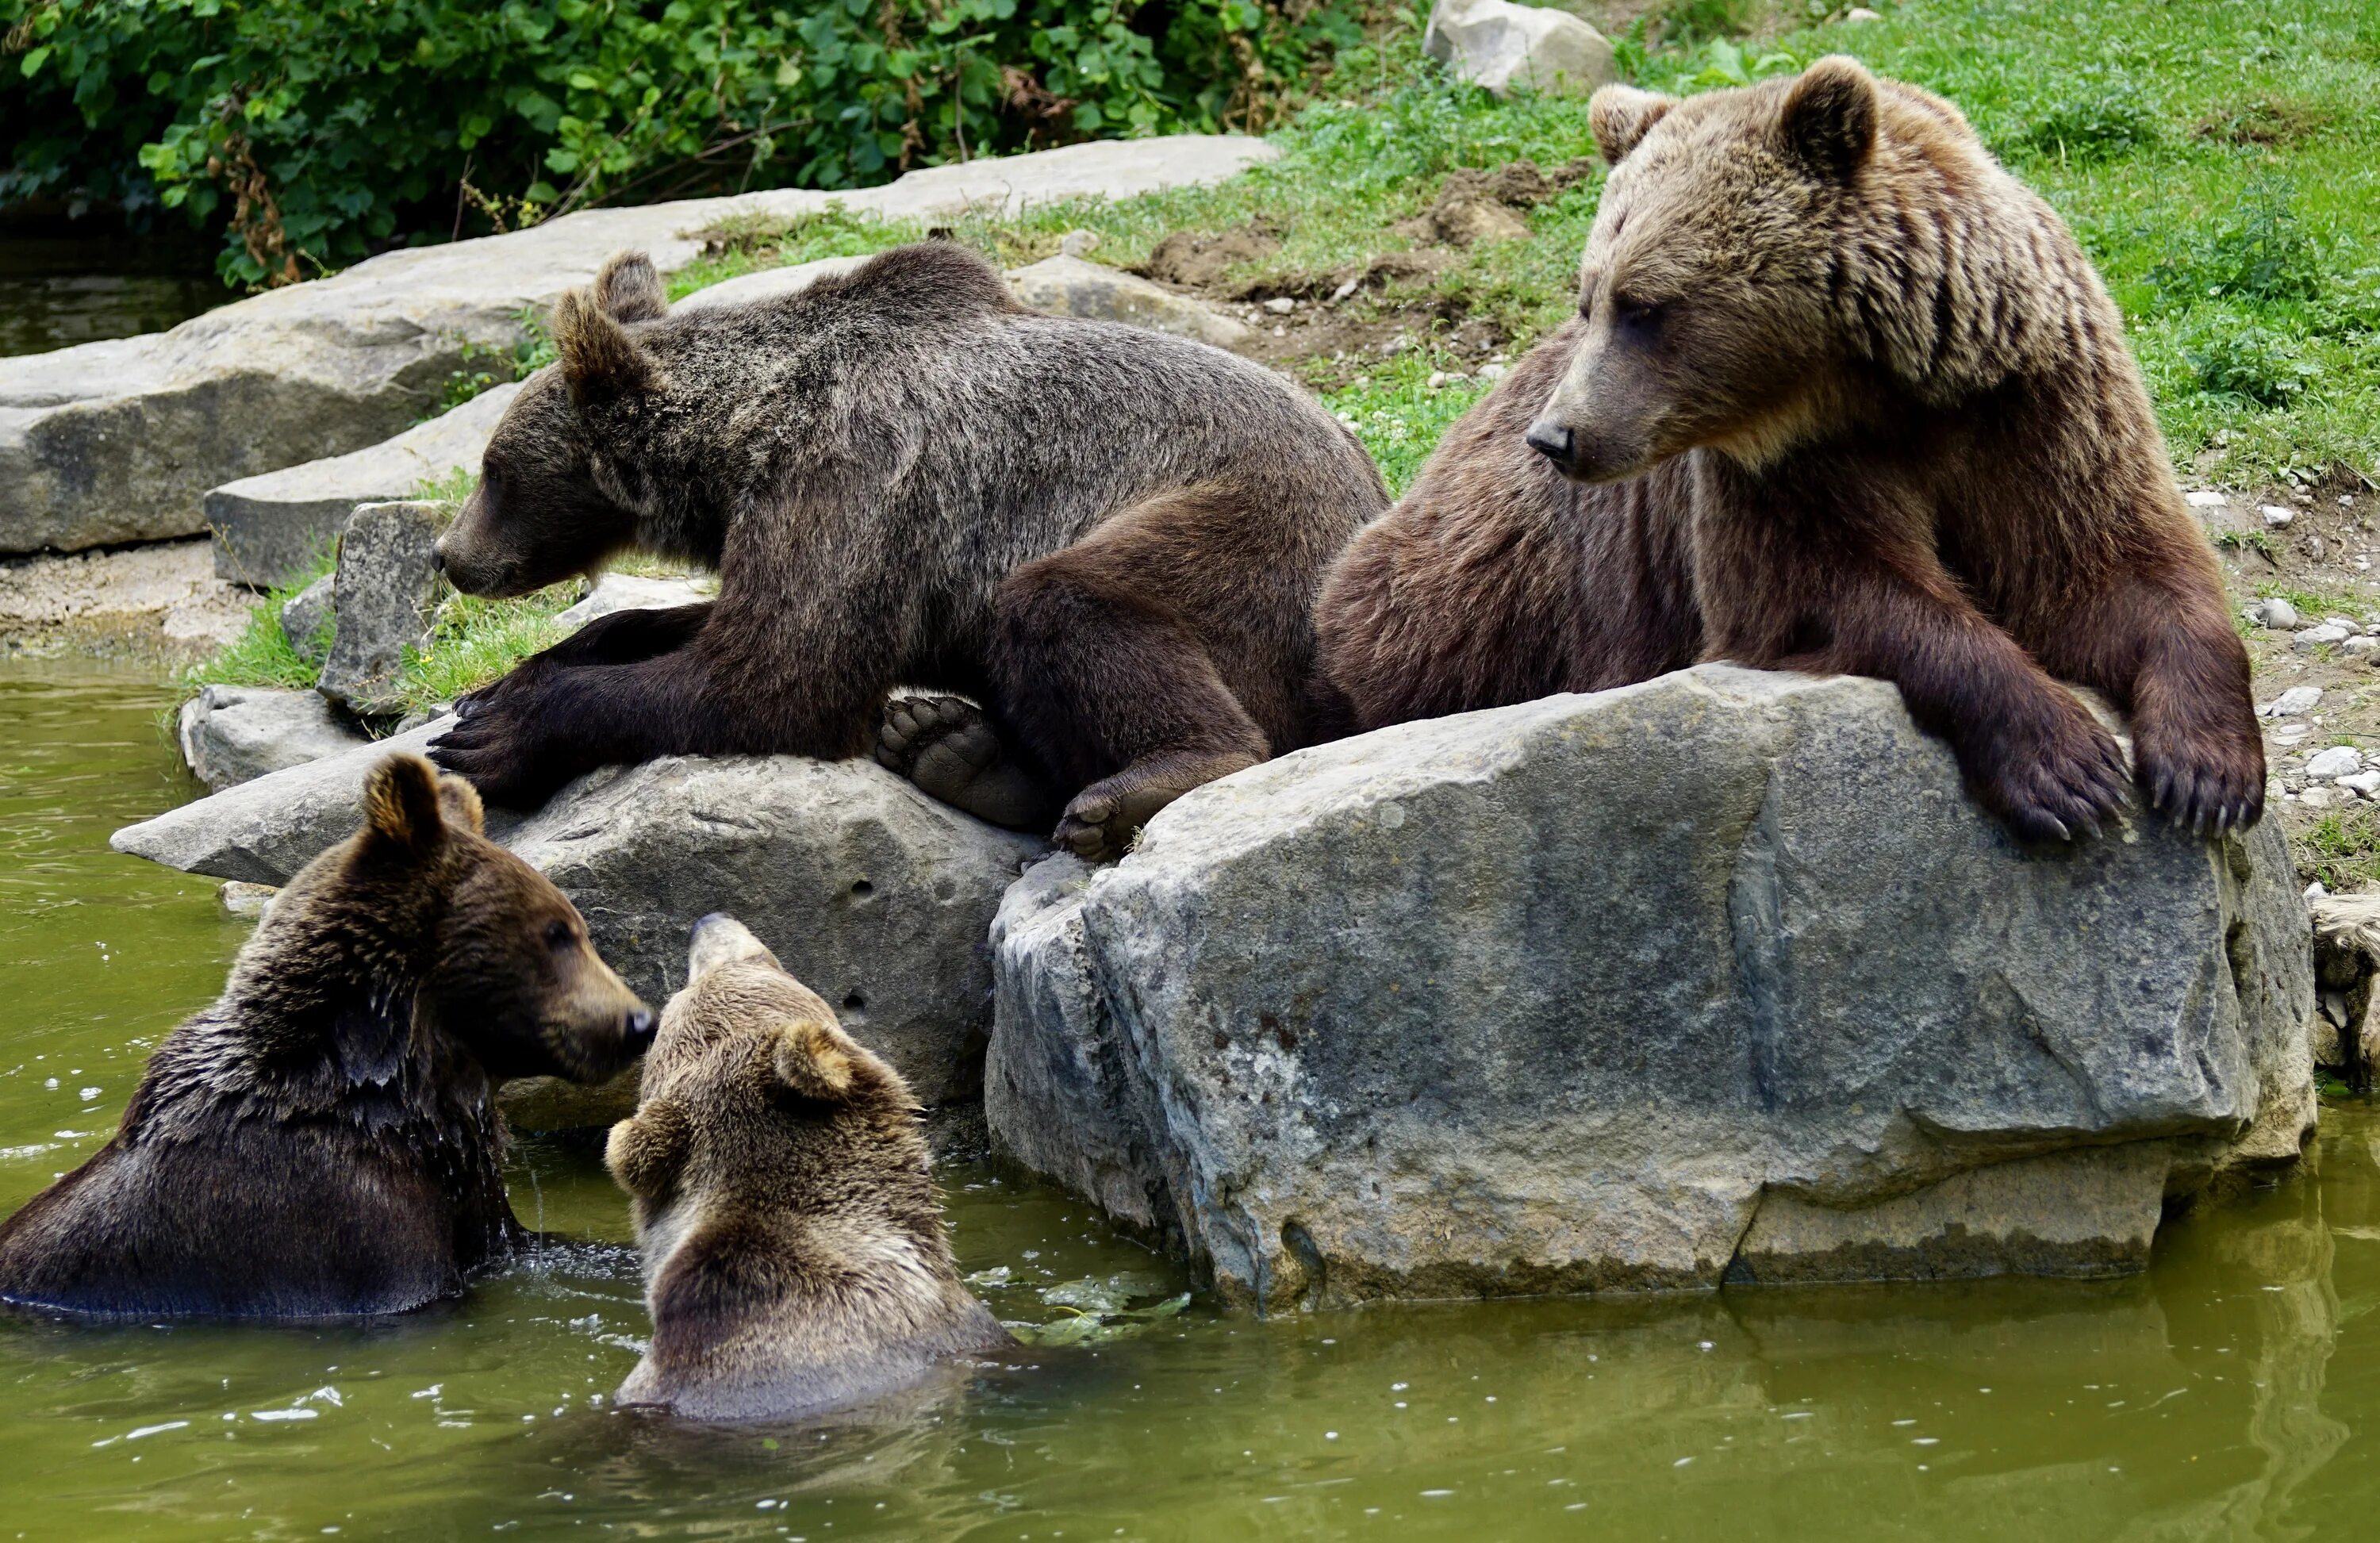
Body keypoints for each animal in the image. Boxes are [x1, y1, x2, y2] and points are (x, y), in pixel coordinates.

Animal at [0, 752, 652, 1323]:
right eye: (556, 931)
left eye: (573, 926)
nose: (638, 1022)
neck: (391, 1098)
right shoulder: (340, 1221)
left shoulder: (472, 1199)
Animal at [438, 248, 1390, 862]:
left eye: (493, 469)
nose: (450, 554)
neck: (742, 441)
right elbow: (706, 624)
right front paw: (499, 683)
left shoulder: (856, 471)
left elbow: (772, 676)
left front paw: (495, 735)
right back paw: (953, 748)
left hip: (1249, 536)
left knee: (1067, 600)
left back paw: (1142, 780)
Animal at [1323, 57, 2266, 843]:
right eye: (1589, 298)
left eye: (1643, 306)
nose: (1557, 436)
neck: (1879, 386)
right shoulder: (1787, 470)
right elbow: (1836, 590)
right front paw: (2065, 768)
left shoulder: (2029, 400)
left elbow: (2108, 564)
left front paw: (2206, 770)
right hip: (1490, 589)